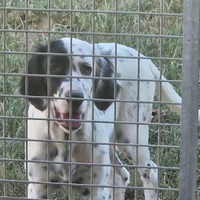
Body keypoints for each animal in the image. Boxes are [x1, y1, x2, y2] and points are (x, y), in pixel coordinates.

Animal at [18, 37, 196, 200]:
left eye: (87, 69)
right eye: (53, 67)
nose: (75, 97)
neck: (66, 140)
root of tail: (141, 57)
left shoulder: (96, 189)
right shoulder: (38, 186)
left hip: (131, 137)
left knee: (150, 174)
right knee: (121, 176)